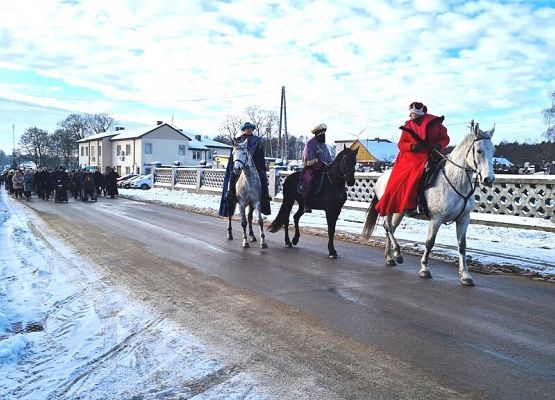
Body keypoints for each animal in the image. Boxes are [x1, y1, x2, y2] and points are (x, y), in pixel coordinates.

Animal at [362, 120, 498, 286]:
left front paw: (465, 275)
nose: (488, 179)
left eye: (493, 150)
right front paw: (424, 269)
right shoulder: (436, 219)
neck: (456, 181)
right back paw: (397, 254)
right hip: (390, 208)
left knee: (390, 229)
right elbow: (430, 242)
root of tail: (381, 177)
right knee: (388, 227)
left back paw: (390, 257)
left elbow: (462, 246)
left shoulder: (463, 219)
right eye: (479, 151)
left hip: (399, 212)